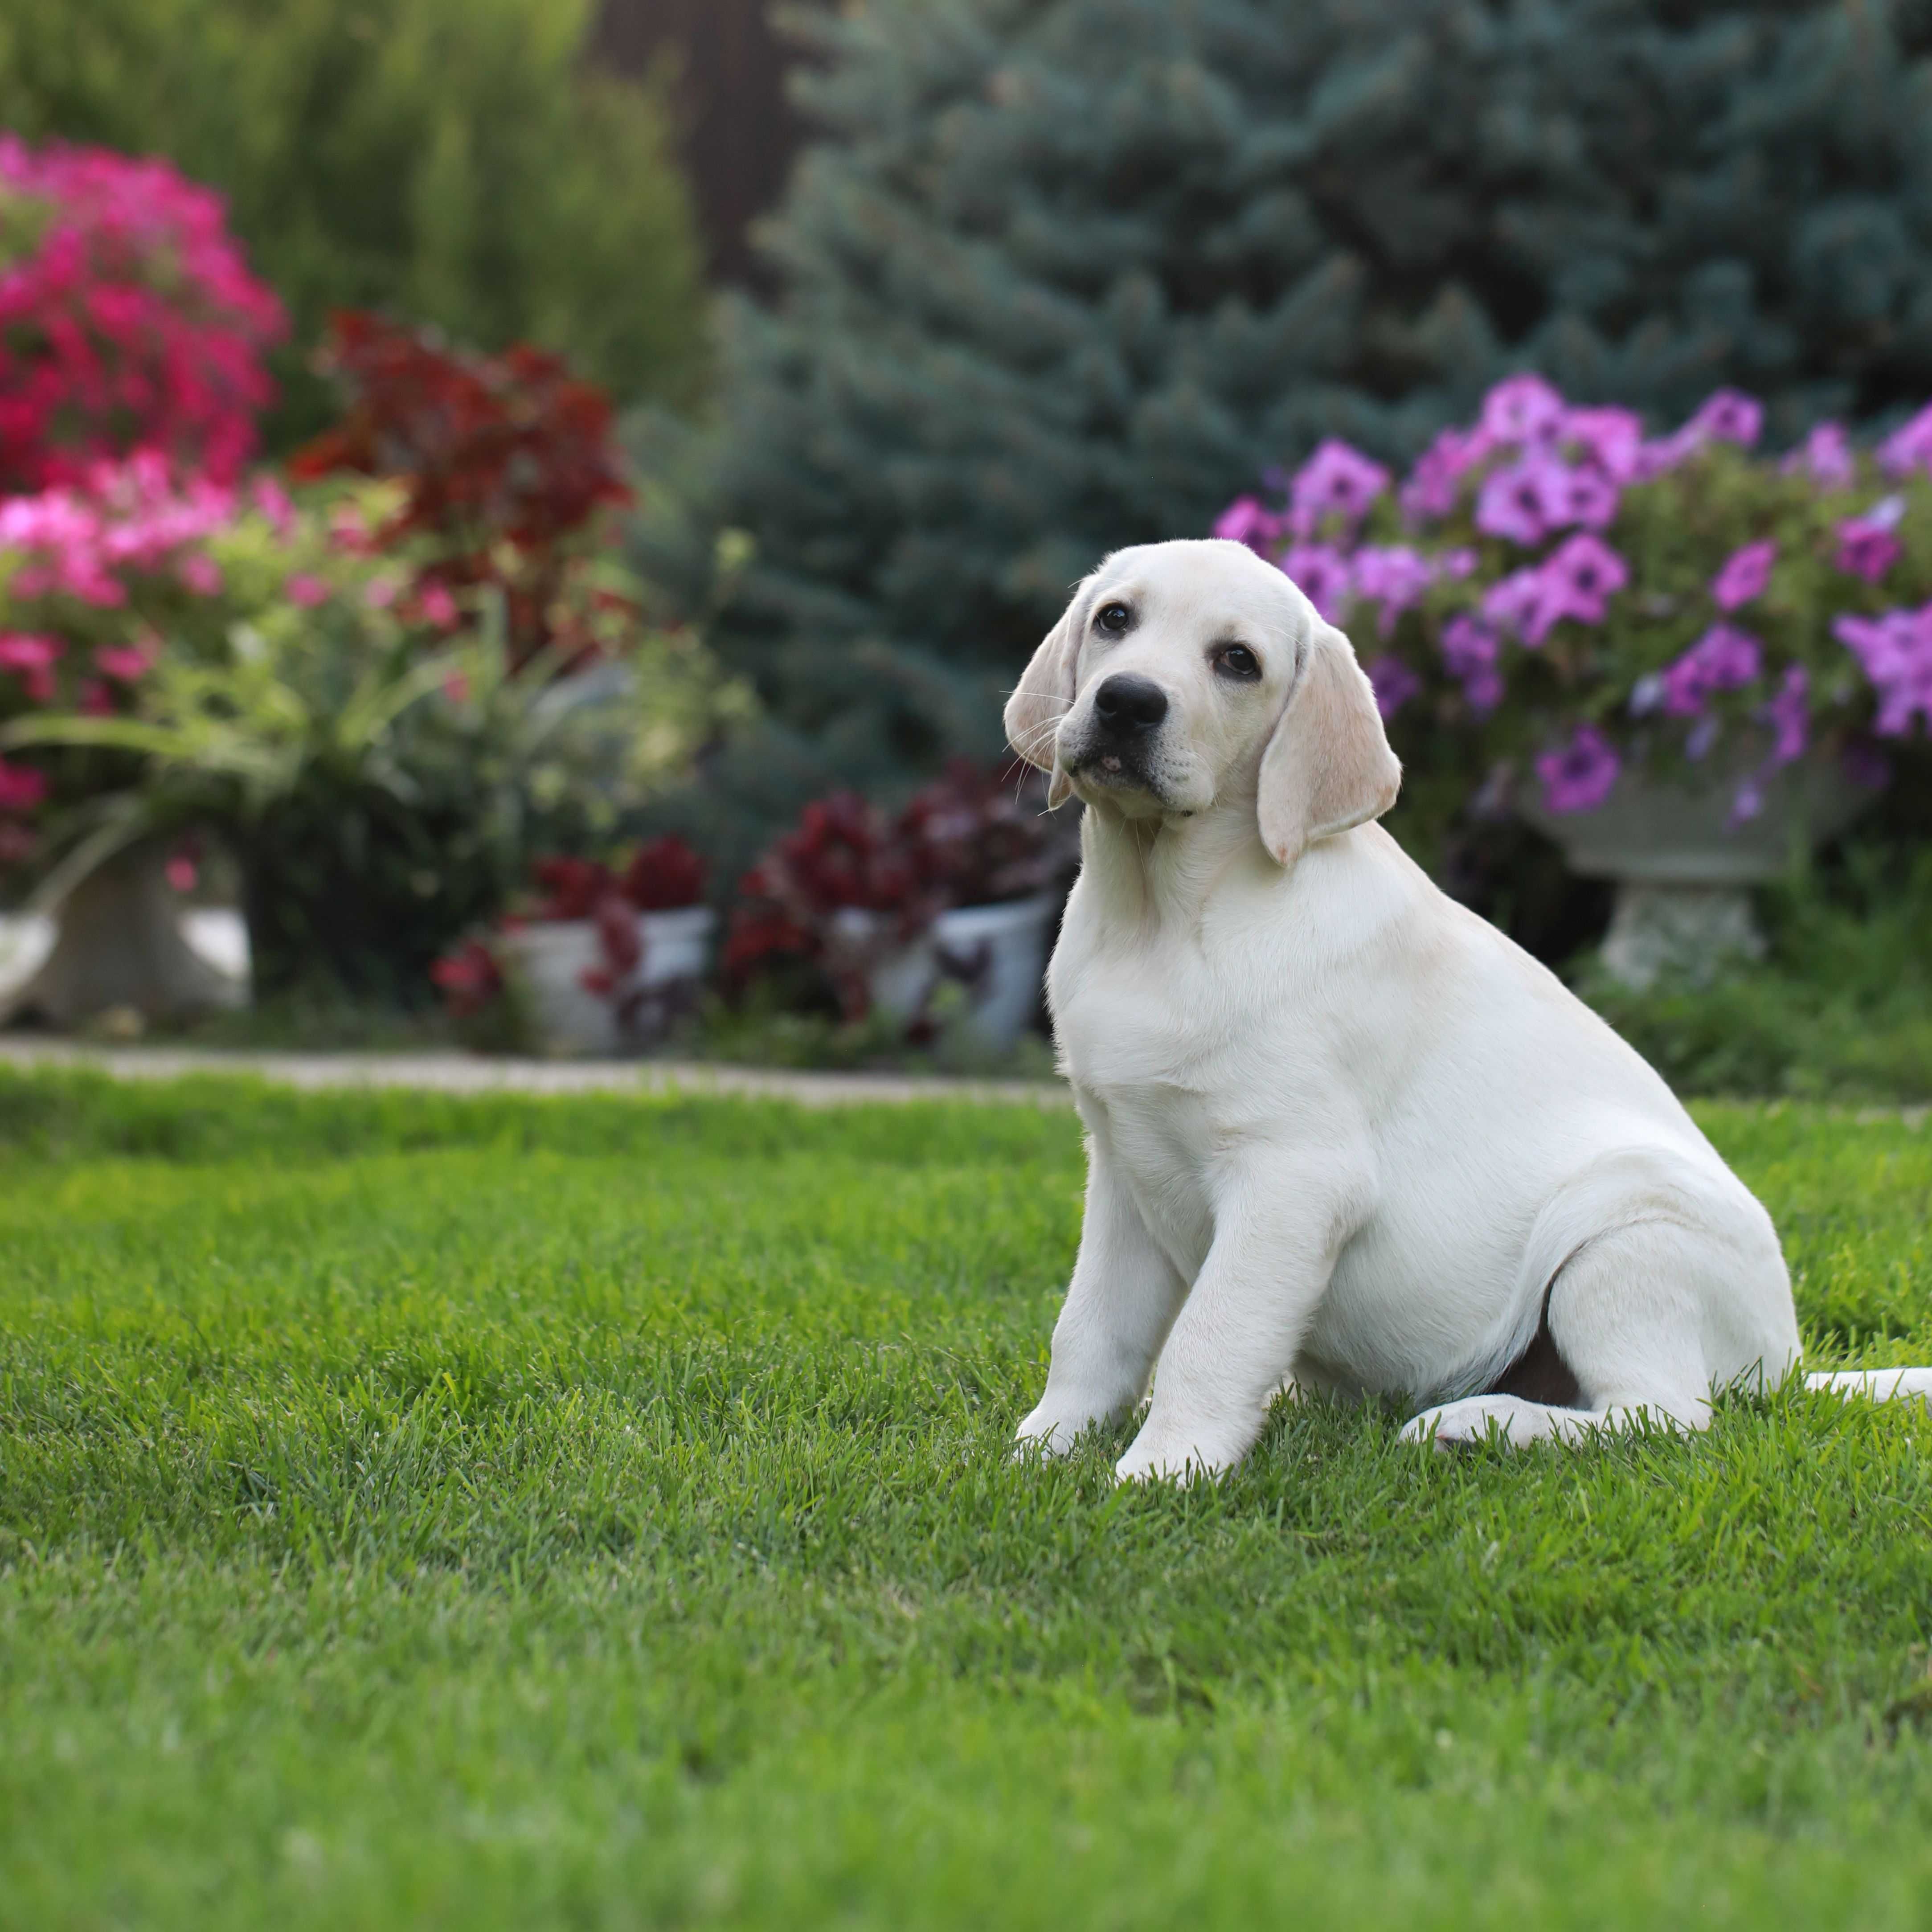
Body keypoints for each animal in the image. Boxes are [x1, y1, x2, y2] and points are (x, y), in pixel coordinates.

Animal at [1004, 541, 1924, 1476]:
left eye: (1237, 662)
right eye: (1115, 619)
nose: (1126, 701)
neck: (1159, 916)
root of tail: (1787, 1364)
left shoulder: (1292, 1177)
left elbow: (1210, 1334)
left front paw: (1165, 1470)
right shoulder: (1123, 1167)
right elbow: (1089, 1330)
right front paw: (1041, 1451)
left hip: (1624, 1235)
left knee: (1663, 1416)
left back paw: (1474, 1423)